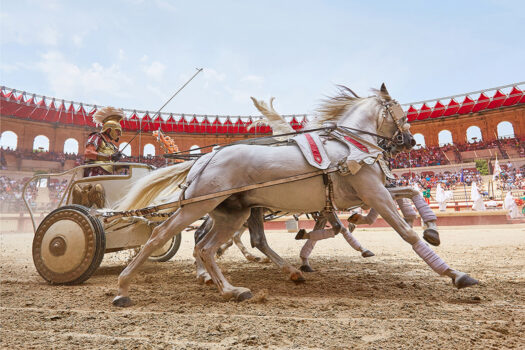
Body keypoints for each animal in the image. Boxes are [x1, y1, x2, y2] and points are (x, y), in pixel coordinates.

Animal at [112, 85, 476, 306]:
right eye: (400, 111)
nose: (410, 142)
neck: (350, 147)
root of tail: (204, 159)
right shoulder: (372, 193)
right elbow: (405, 232)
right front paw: (454, 273)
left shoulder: (360, 195)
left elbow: (409, 192)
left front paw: (431, 226)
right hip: (199, 207)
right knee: (162, 235)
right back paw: (124, 287)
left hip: (232, 213)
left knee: (208, 246)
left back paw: (232, 288)